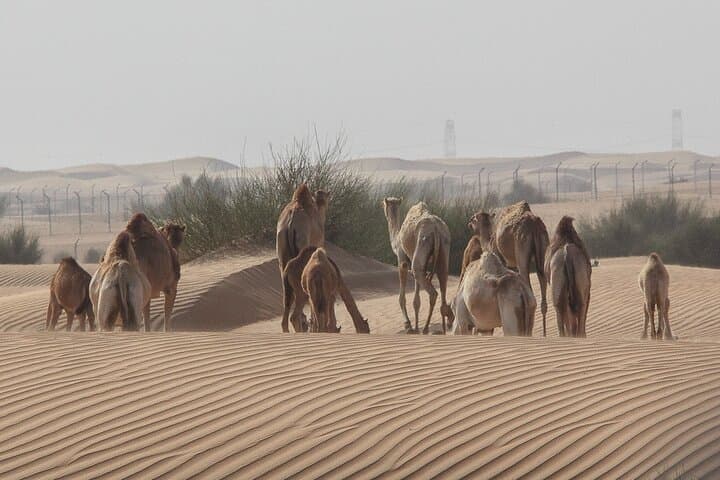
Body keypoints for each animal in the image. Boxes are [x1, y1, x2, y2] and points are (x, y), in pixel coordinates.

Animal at [276, 184, 329, 332]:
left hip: (281, 250)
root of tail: (290, 222)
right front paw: (313, 324)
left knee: (287, 294)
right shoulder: (318, 246)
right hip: (303, 240)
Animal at [382, 197, 452, 334]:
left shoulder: (402, 259)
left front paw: (408, 325)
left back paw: (425, 328)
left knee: (432, 292)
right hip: (444, 246)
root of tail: (436, 229)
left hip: (422, 243)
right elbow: (416, 301)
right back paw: (443, 329)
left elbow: (402, 297)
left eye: (383, 205)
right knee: (443, 279)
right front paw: (414, 326)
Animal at [468, 201, 549, 335]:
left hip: (521, 246)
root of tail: (534, 224)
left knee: (527, 280)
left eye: (474, 218)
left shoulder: (500, 257)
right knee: (543, 280)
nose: (468, 222)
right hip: (543, 247)